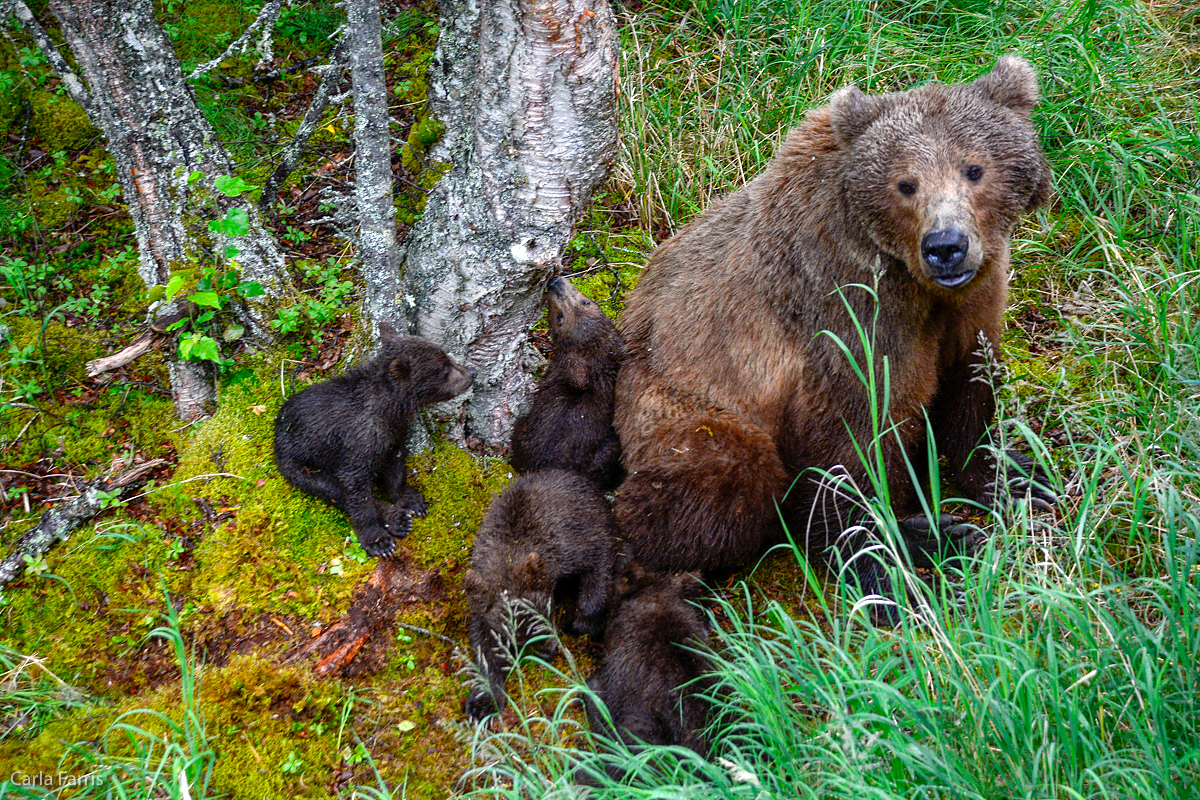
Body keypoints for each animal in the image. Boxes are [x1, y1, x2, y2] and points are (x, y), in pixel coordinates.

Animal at [614, 57, 1056, 618]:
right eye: (905, 183)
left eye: (974, 169)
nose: (946, 246)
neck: (915, 284)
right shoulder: (851, 313)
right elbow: (850, 440)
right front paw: (892, 566)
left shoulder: (971, 303)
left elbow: (968, 385)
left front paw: (1017, 478)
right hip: (675, 404)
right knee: (729, 476)